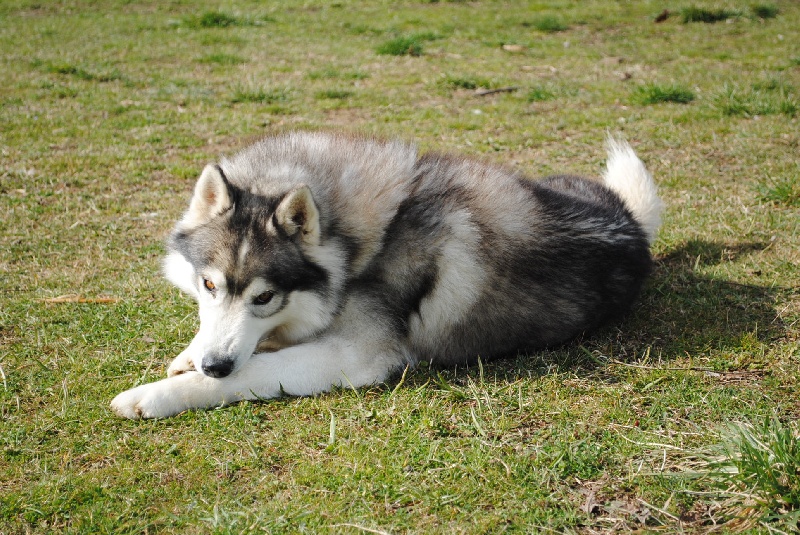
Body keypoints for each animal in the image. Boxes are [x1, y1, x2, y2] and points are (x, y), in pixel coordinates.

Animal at [111, 133, 664, 418]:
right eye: (209, 285)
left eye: (265, 297)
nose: (215, 365)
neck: (361, 244)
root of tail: (630, 222)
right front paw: (190, 356)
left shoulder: (354, 355)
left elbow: (254, 371)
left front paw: (152, 396)